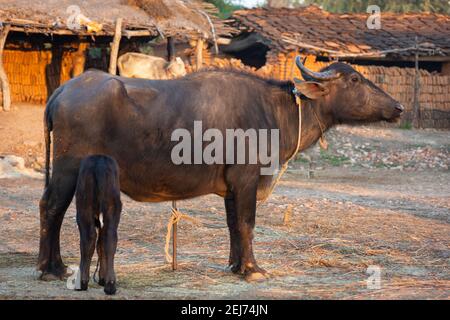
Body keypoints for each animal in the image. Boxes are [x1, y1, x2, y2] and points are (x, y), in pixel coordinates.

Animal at [39, 57, 404, 280]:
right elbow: (247, 223)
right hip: (68, 167)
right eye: (355, 78)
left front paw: (236, 265)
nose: (398, 106)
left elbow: (232, 225)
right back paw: (51, 267)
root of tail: (62, 91)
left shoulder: (232, 188)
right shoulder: (247, 180)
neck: (275, 111)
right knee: (51, 207)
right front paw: (253, 268)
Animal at [75, 155, 122, 296]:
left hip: (83, 208)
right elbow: (101, 245)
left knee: (88, 238)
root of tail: (100, 161)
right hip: (112, 208)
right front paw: (103, 278)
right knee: (109, 238)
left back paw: (83, 282)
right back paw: (110, 285)